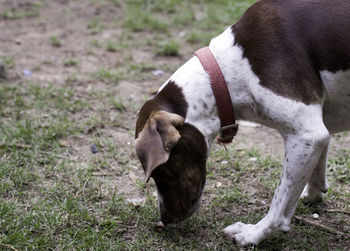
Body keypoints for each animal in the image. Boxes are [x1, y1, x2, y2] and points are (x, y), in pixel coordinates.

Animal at [135, 0, 350, 247]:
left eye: (163, 170)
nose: (164, 220)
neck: (229, 70)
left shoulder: (307, 134)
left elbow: (279, 206)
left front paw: (252, 233)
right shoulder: (317, 131)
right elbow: (316, 170)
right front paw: (313, 194)